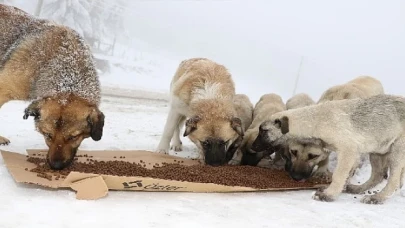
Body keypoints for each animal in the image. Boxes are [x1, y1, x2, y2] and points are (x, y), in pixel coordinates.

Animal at [252, 93, 404, 204]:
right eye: (293, 153)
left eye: (263, 131)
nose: (253, 147)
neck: (315, 120)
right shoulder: (353, 155)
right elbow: (346, 175)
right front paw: (338, 189)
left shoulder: (348, 151)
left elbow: (338, 175)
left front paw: (329, 194)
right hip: (378, 151)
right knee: (378, 175)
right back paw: (358, 189)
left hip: (397, 152)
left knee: (393, 181)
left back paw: (377, 197)